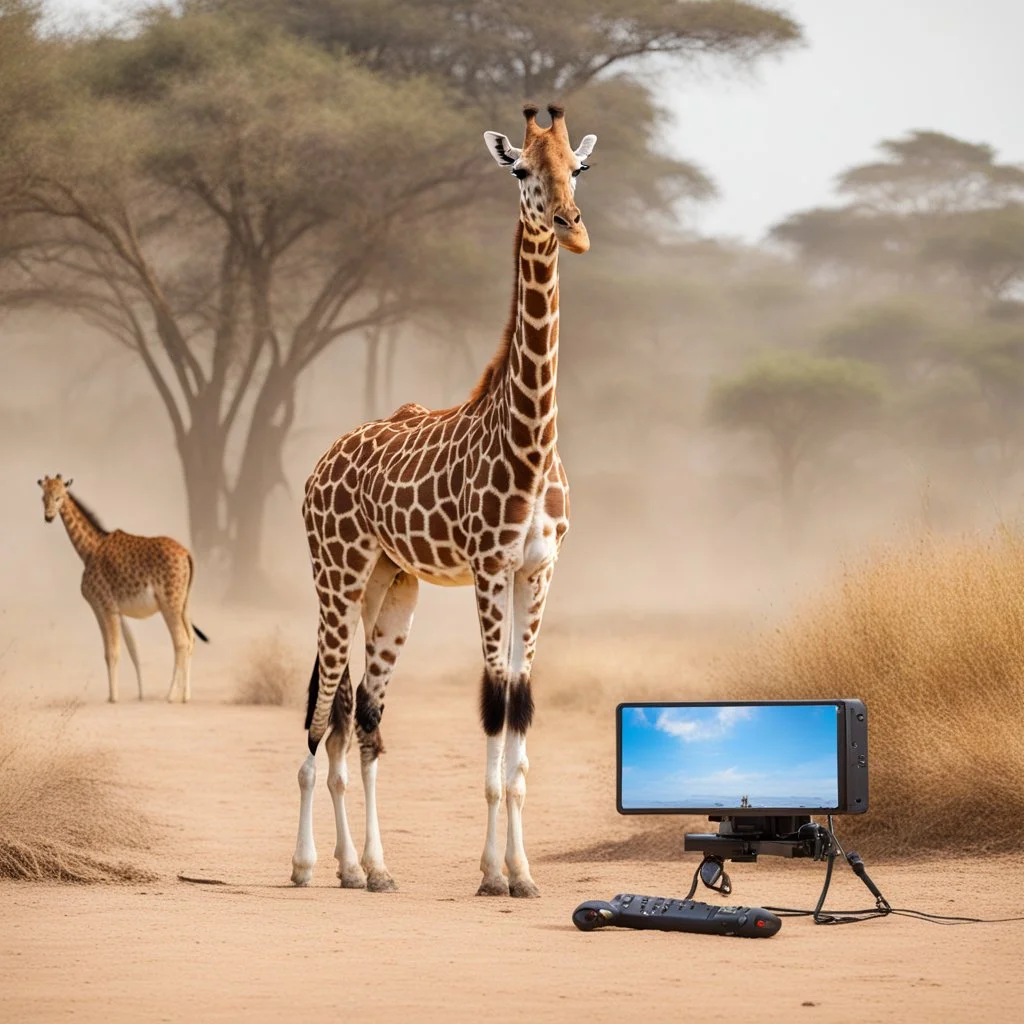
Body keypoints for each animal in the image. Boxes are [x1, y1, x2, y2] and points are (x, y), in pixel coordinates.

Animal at [38, 473, 208, 704]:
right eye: (43, 497)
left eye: (59, 497)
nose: (48, 517)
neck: (88, 550)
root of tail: (187, 554)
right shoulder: (108, 610)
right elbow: (122, 651)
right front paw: (123, 694)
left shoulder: (106, 606)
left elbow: (114, 652)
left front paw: (114, 698)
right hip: (184, 604)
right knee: (190, 639)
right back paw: (186, 696)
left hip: (169, 604)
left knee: (180, 642)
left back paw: (170, 695)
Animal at [288, 105, 598, 897]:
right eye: (521, 168)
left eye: (578, 168)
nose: (570, 225)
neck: (531, 443)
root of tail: (319, 464)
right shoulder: (489, 569)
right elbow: (492, 708)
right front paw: (492, 875)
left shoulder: (538, 571)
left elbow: (519, 714)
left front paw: (524, 874)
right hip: (335, 576)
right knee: (321, 709)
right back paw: (307, 864)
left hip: (391, 586)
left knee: (360, 713)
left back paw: (367, 868)